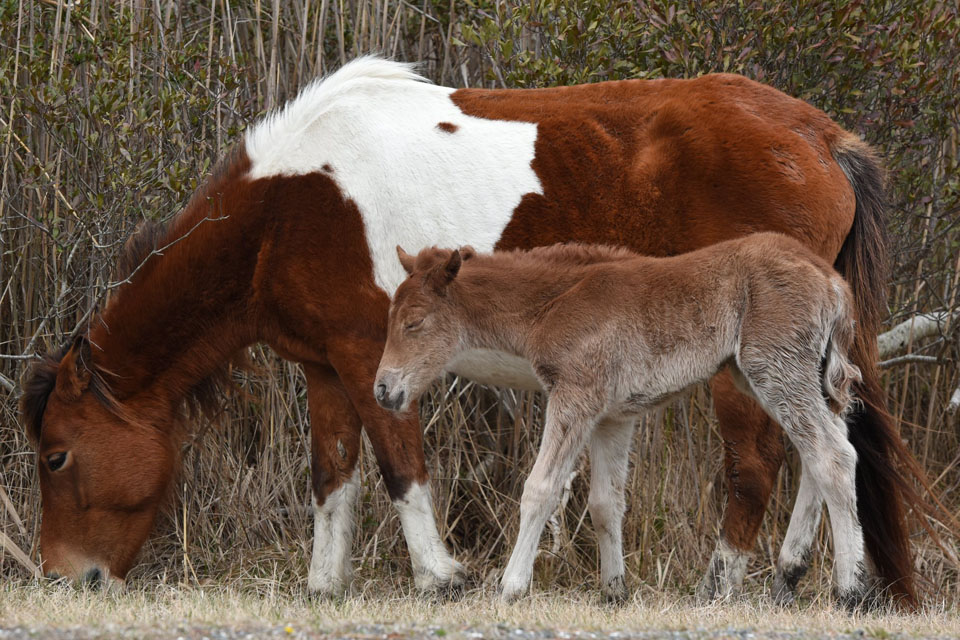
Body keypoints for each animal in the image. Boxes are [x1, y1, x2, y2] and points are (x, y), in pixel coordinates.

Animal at [376, 234, 872, 604]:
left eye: (415, 322)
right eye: (392, 316)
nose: (383, 389)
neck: (553, 304)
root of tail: (834, 281)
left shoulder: (575, 397)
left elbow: (540, 488)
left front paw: (512, 586)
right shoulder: (613, 417)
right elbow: (605, 502)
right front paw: (614, 590)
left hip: (775, 369)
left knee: (832, 455)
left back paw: (850, 590)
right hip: (773, 375)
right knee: (819, 449)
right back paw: (789, 575)